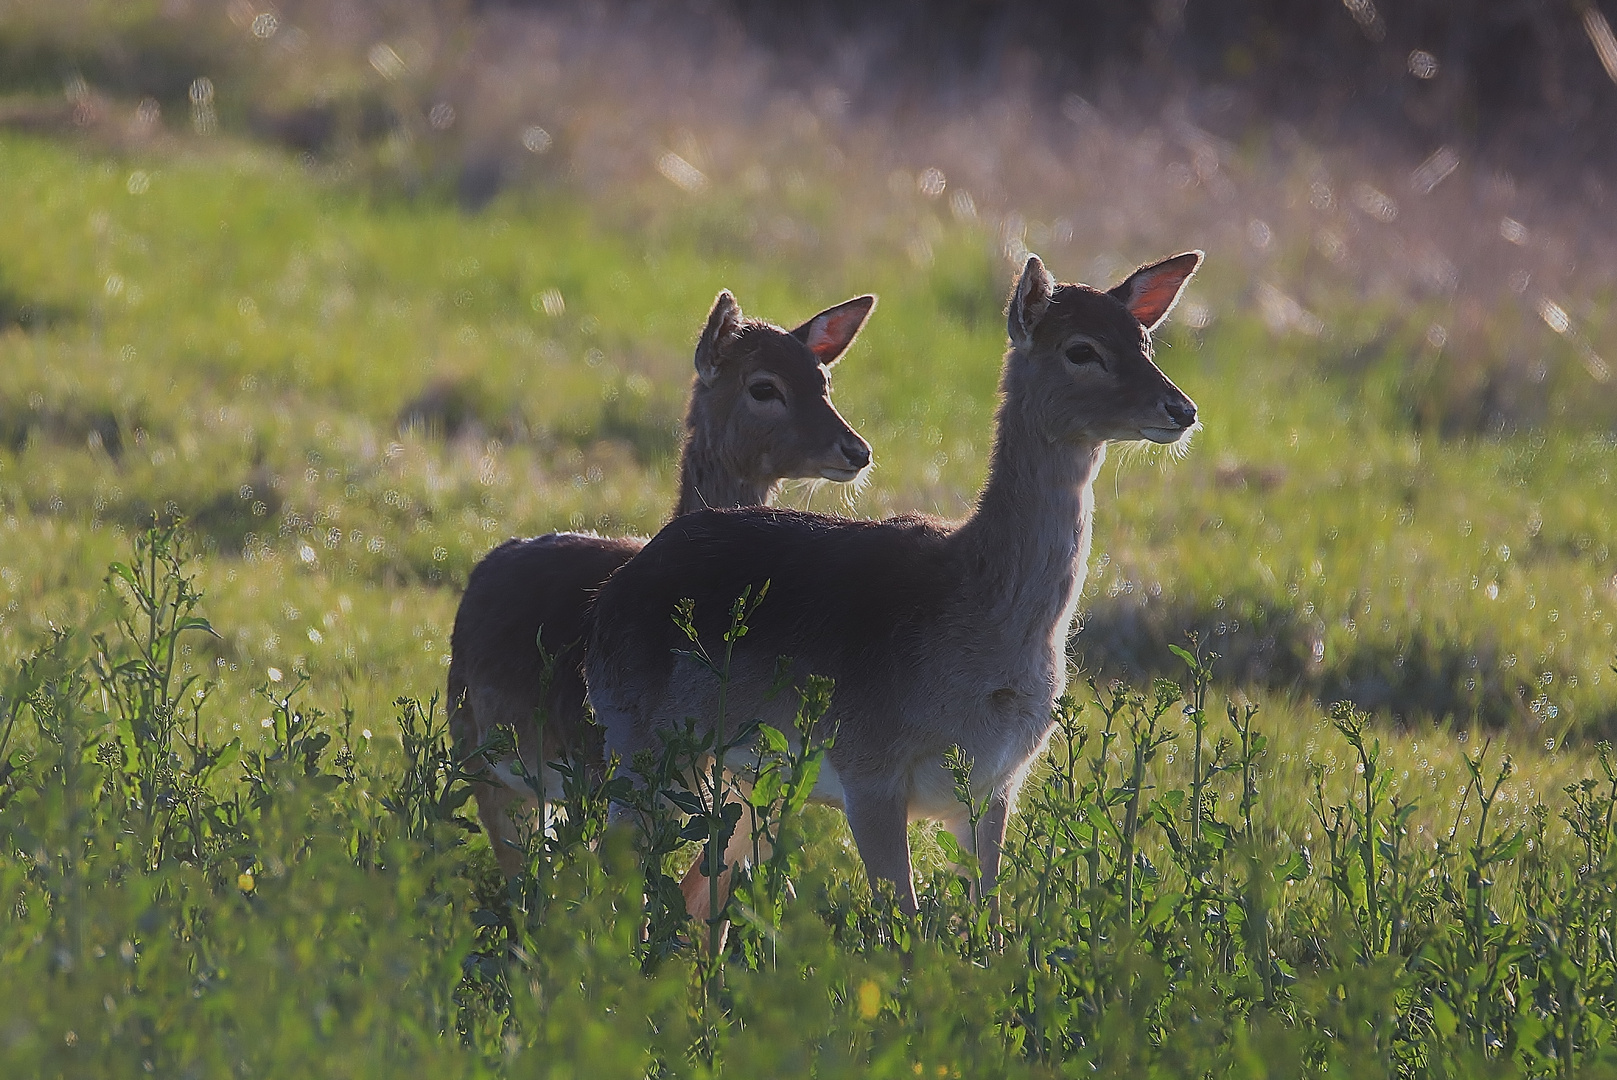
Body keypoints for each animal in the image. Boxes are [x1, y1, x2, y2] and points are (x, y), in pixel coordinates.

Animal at [582, 250, 1203, 911]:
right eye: (1081, 349)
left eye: (1145, 341)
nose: (1182, 409)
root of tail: (608, 596)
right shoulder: (868, 766)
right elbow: (899, 920)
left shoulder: (995, 785)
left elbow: (987, 918)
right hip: (641, 746)